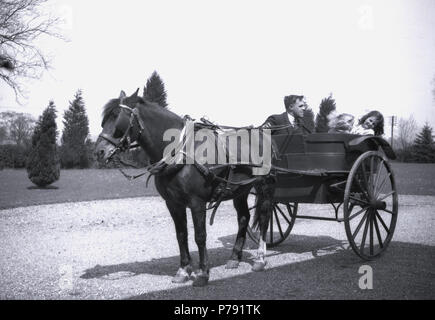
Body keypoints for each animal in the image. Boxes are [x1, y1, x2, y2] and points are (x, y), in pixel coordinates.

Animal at [94, 89, 276, 286]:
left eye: (118, 119)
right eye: (104, 120)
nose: (98, 152)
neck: (181, 153)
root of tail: (263, 134)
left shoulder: (197, 203)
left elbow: (200, 236)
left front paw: (203, 273)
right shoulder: (173, 204)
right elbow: (181, 235)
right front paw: (183, 270)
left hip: (264, 186)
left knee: (264, 217)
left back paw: (260, 259)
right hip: (240, 190)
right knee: (243, 218)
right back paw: (234, 258)